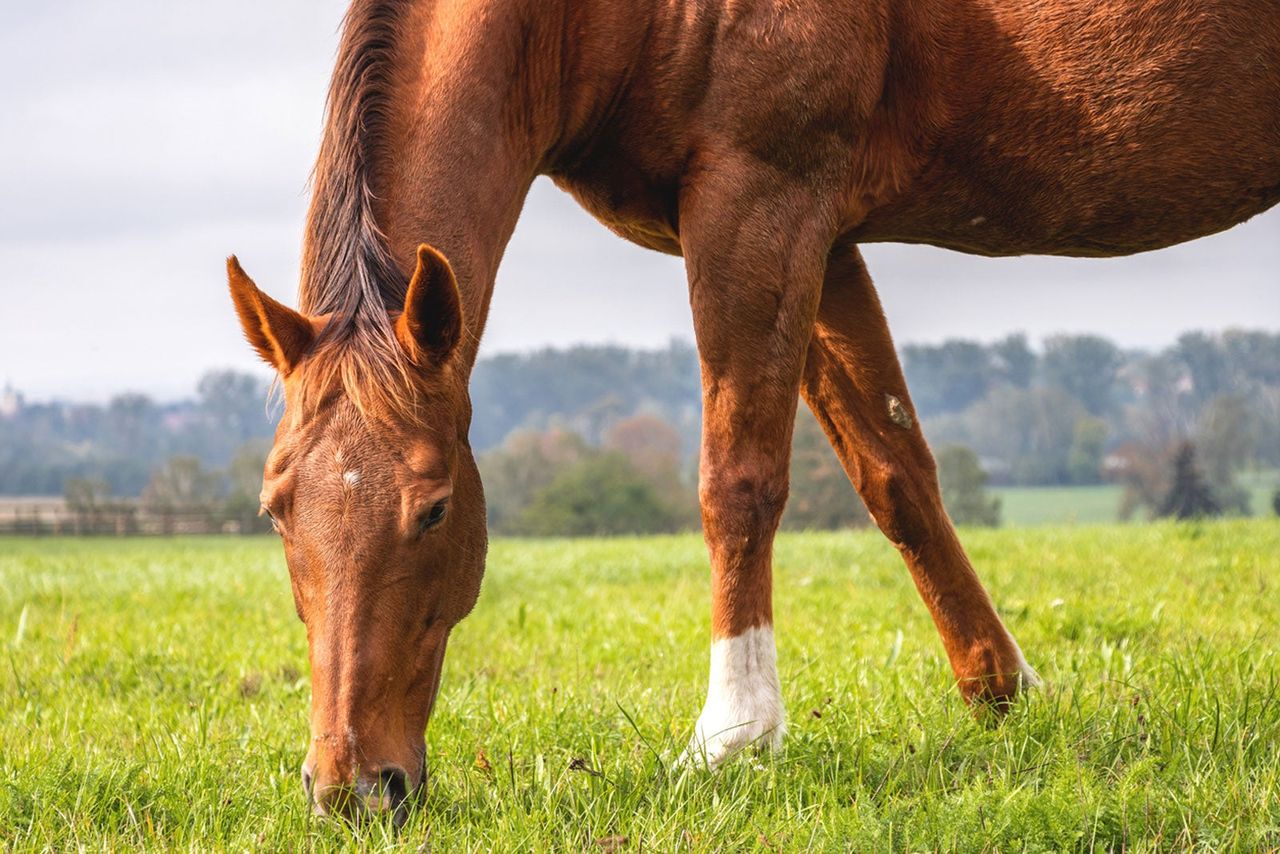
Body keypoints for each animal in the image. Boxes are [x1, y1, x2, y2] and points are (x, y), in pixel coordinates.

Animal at [225, 0, 1274, 824]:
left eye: (436, 507)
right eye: (275, 510)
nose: (352, 788)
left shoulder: (759, 204)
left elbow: (737, 482)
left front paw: (733, 735)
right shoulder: (822, 238)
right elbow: (895, 472)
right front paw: (1001, 695)